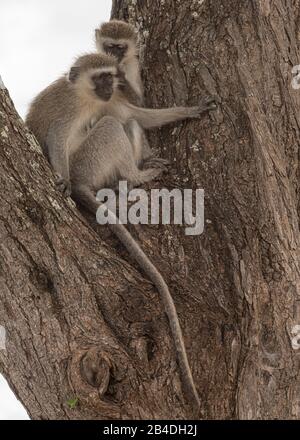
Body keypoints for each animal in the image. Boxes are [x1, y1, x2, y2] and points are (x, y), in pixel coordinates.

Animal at [25, 54, 217, 410]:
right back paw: (134, 176)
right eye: (99, 77)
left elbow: (138, 116)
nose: (108, 87)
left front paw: (191, 109)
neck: (88, 99)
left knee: (125, 123)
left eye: (110, 77)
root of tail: (83, 182)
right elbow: (57, 137)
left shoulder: (111, 100)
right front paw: (59, 177)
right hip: (88, 163)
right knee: (112, 127)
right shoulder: (69, 109)